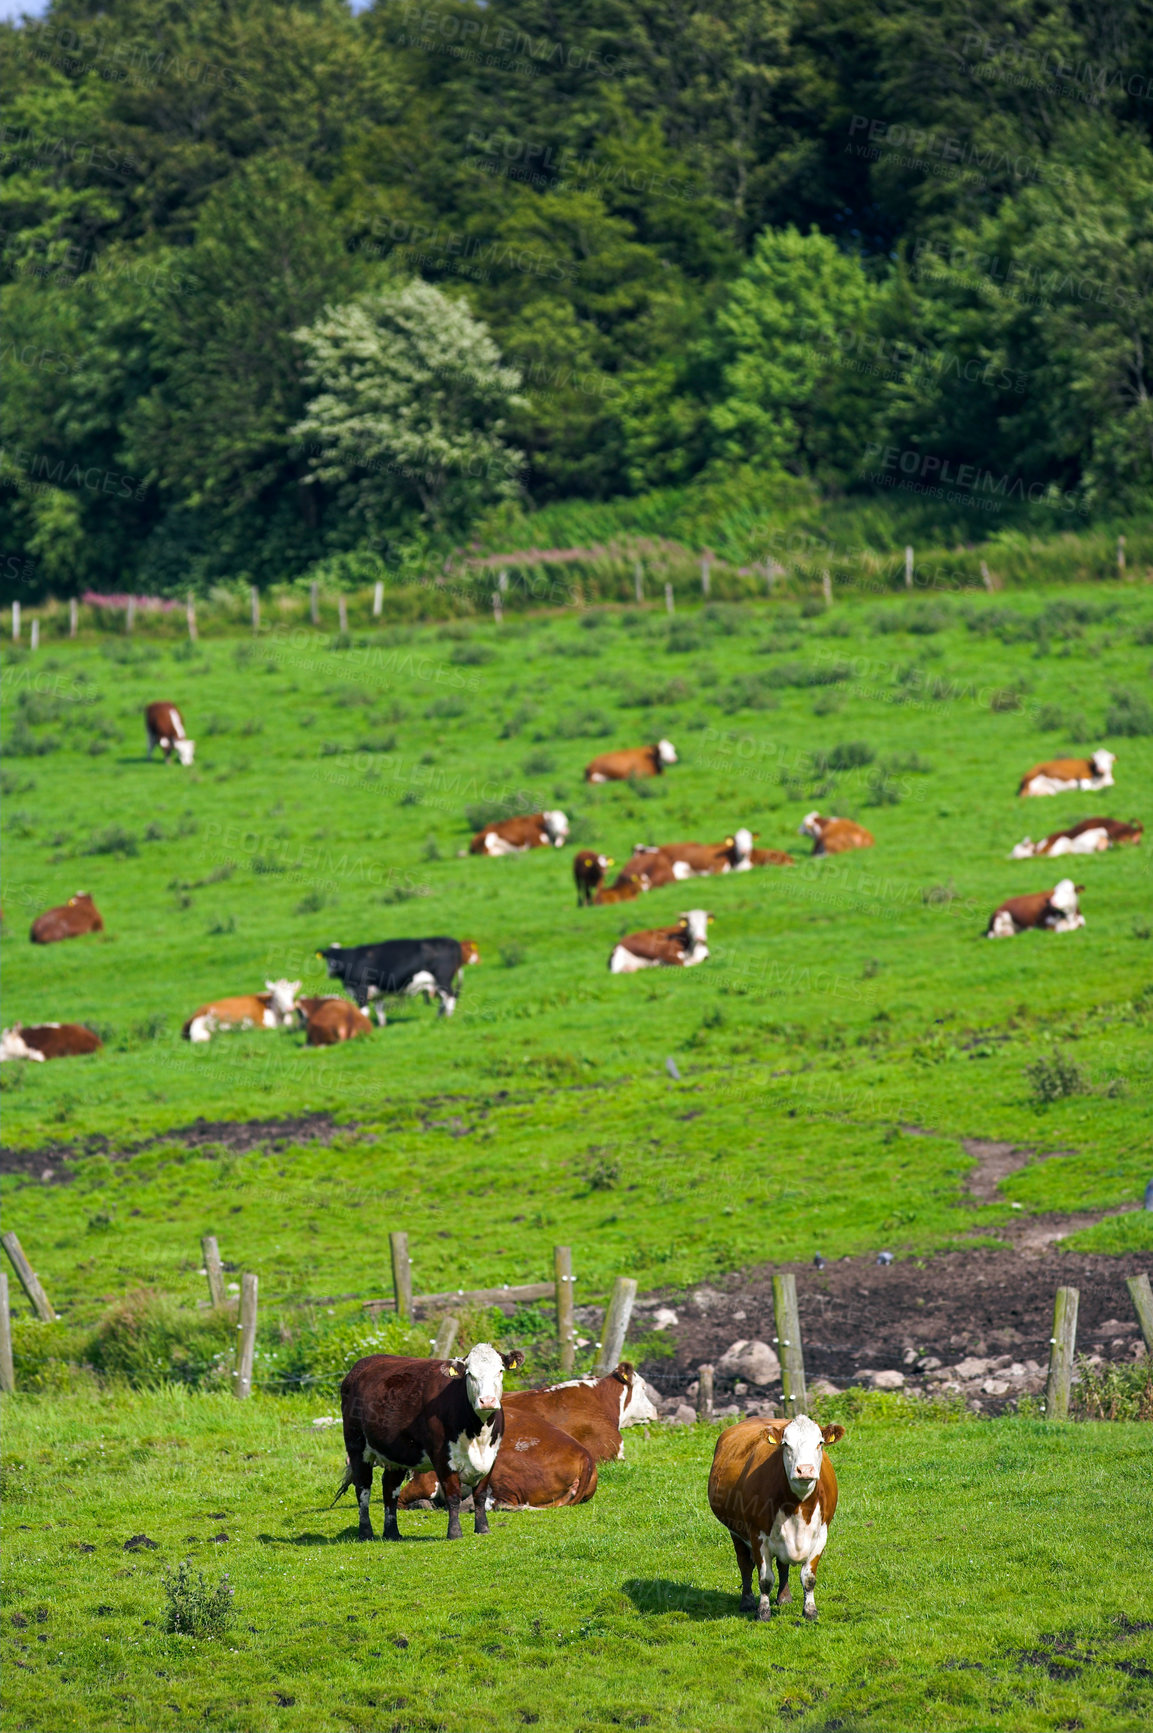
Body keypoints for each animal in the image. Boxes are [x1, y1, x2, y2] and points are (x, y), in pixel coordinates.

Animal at [334, 1337, 523, 1545]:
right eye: (470, 1374)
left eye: (500, 1370)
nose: (487, 1401)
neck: (477, 1433)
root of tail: (363, 1364)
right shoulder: (442, 1457)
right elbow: (453, 1496)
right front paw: (454, 1533)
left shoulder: (491, 1457)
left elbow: (480, 1495)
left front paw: (483, 1528)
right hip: (357, 1446)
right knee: (363, 1487)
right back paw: (366, 1533)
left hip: (397, 1453)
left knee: (390, 1487)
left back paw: (392, 1532)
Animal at [707, 1407, 842, 1622]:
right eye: (786, 1444)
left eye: (820, 1443)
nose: (805, 1470)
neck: (798, 1506)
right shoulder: (757, 1535)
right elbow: (765, 1579)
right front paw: (763, 1612)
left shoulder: (821, 1534)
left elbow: (809, 1578)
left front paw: (810, 1611)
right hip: (735, 1531)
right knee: (745, 1564)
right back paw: (747, 1602)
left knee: (782, 1564)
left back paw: (784, 1597)